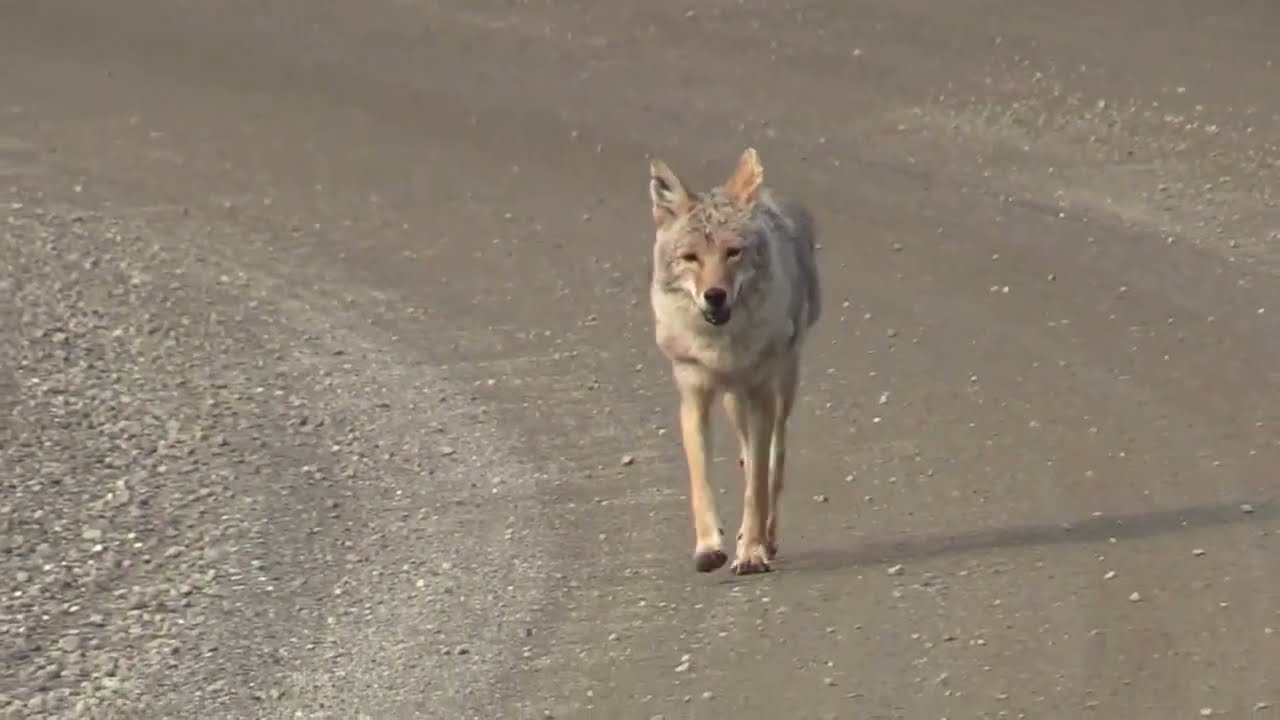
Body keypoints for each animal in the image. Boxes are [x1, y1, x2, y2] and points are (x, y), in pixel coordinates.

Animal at [648, 147, 822, 575]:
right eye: (691, 258)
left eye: (733, 252)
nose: (714, 295)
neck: (721, 347)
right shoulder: (693, 396)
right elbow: (701, 481)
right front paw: (709, 546)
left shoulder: (760, 394)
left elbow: (757, 485)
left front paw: (753, 551)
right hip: (732, 403)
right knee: (747, 454)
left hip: (781, 389)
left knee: (774, 462)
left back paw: (766, 538)